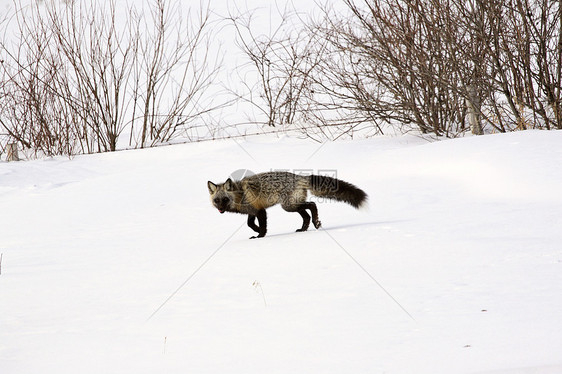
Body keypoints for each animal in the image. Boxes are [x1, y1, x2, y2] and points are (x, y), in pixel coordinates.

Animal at [207, 172, 368, 240]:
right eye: (217, 200)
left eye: (225, 199)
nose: (220, 209)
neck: (240, 194)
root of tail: (300, 177)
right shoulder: (252, 211)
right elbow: (249, 224)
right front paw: (257, 230)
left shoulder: (261, 211)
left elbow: (262, 226)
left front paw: (260, 236)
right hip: (292, 206)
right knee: (306, 215)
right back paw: (303, 229)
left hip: (289, 206)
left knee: (312, 205)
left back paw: (316, 223)